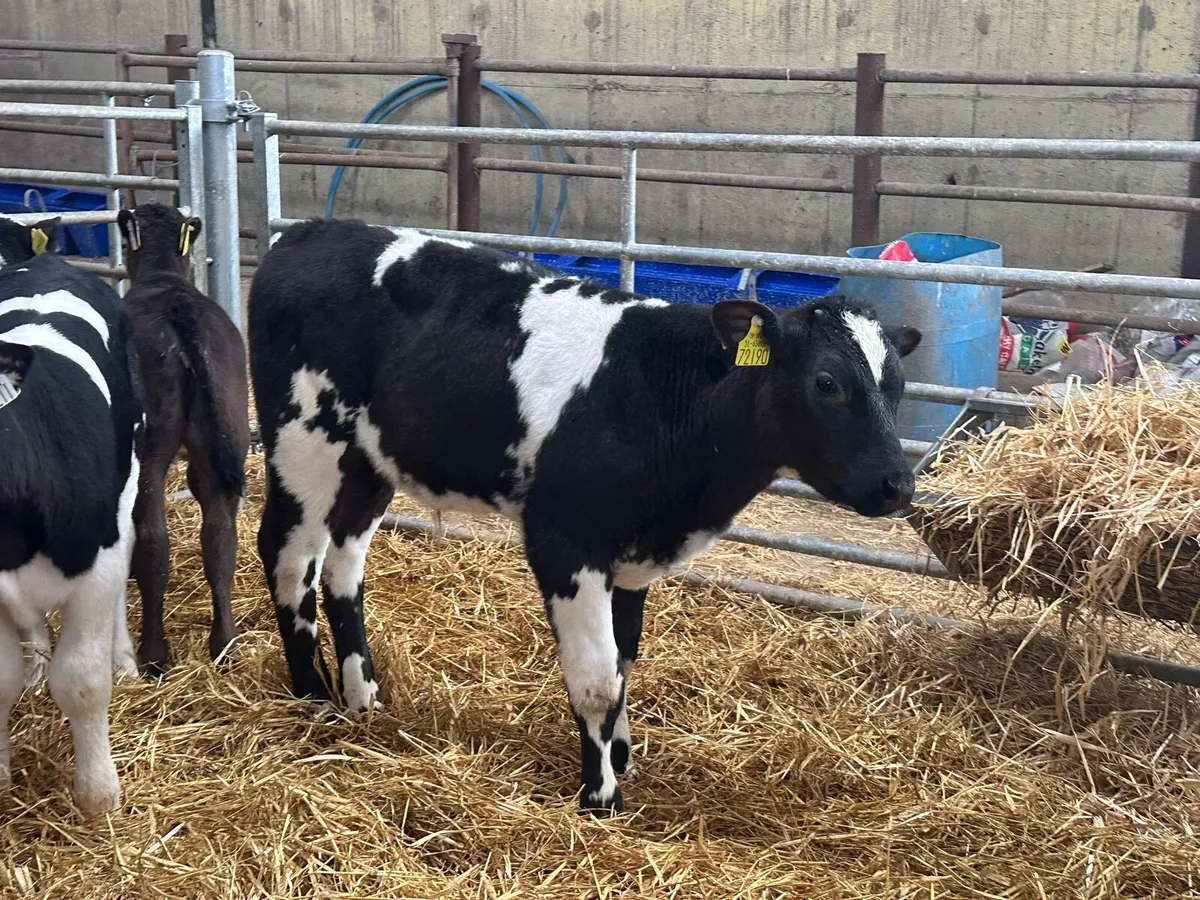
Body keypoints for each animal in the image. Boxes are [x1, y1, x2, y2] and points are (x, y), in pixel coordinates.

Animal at [115, 203, 250, 675]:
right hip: (222, 439)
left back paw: (154, 654)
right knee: (220, 537)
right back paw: (224, 645)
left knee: (153, 538)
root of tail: (178, 307)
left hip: (148, 451)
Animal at [248, 219, 921, 814]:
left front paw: (619, 756)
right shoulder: (567, 542)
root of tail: (305, 232)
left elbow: (624, 659)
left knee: (343, 567)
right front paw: (600, 796)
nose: (898, 484)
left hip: (369, 462)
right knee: (290, 555)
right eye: (826, 381)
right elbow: (597, 677)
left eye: (899, 385)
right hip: (303, 442)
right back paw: (310, 695)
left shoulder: (632, 553)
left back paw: (363, 697)